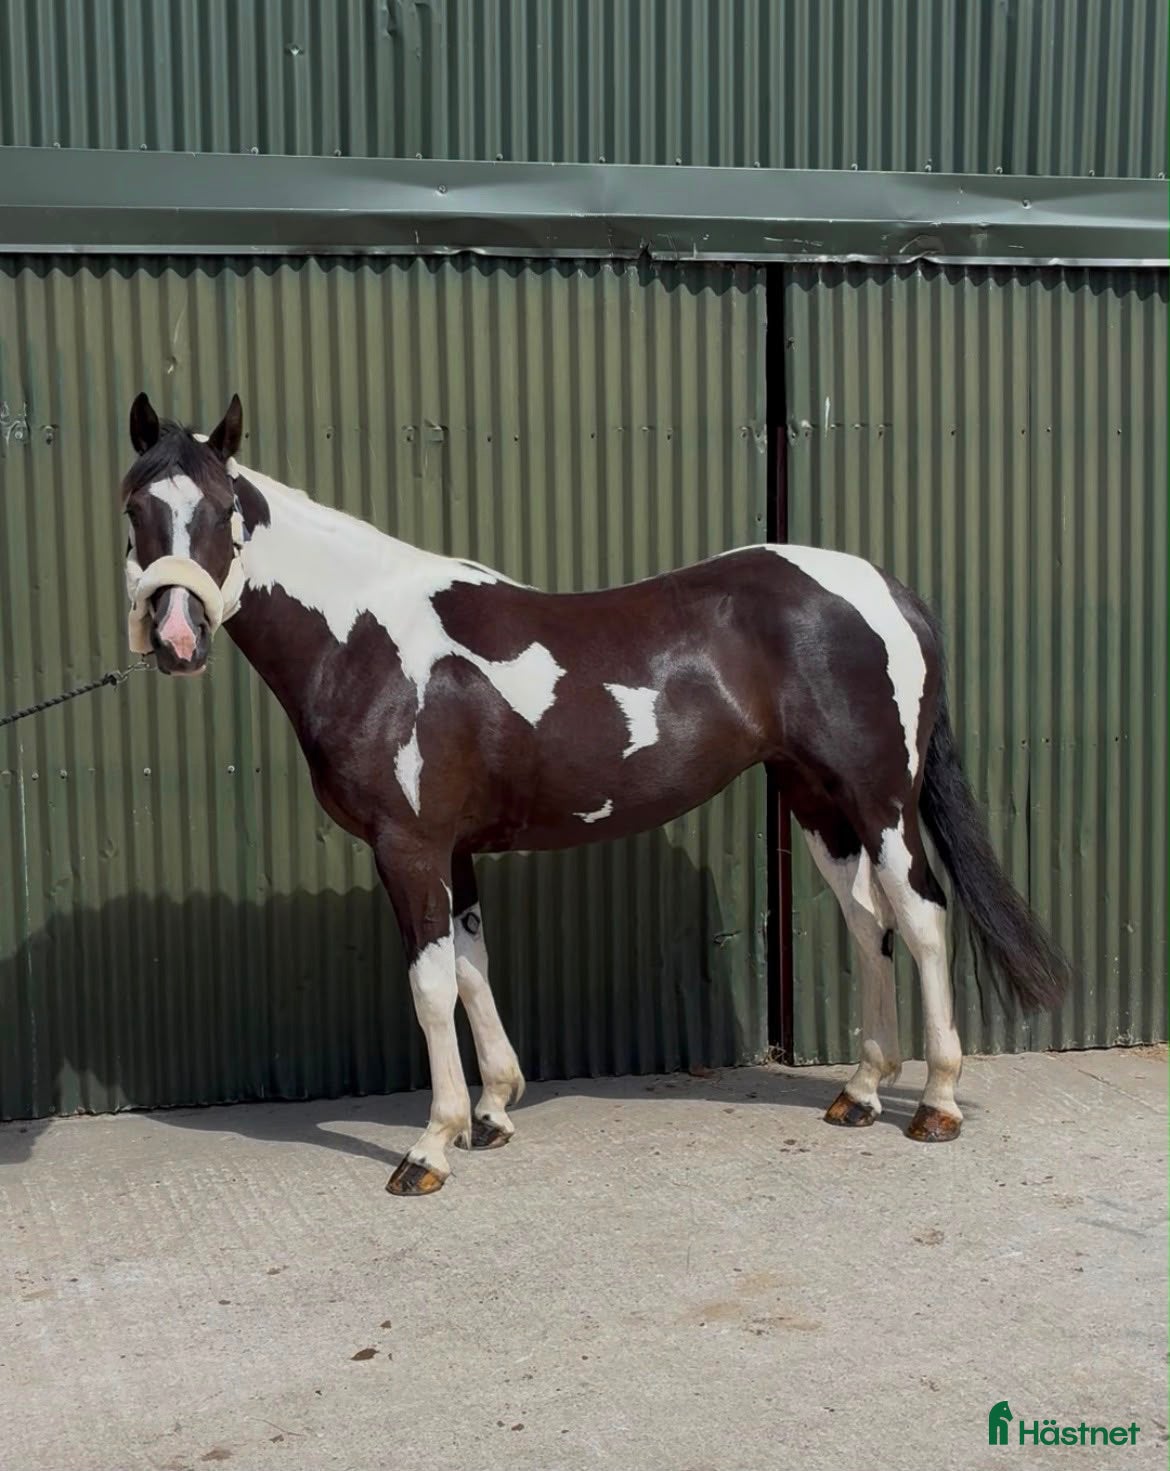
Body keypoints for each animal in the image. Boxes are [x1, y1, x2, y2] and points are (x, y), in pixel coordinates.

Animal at [120, 392, 1069, 1196]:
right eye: (135, 508)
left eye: (222, 511)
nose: (175, 638)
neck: (365, 638)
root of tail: (887, 590)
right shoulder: (455, 852)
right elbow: (474, 970)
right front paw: (494, 1111)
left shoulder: (409, 846)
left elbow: (431, 988)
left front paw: (432, 1144)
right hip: (818, 801)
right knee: (868, 922)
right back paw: (864, 1090)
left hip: (881, 801)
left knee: (922, 916)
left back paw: (937, 1102)